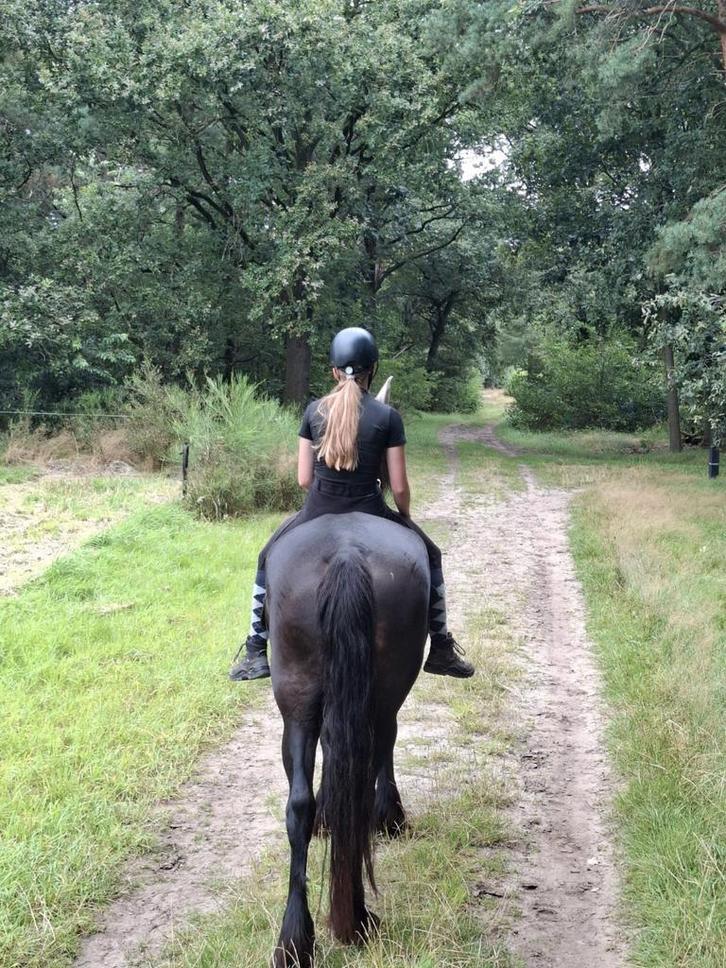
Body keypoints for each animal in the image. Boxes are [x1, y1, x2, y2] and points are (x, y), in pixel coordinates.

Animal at [265, 510, 430, 967]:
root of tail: (346, 554)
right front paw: (390, 815)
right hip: (382, 690)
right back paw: (352, 919)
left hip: (298, 700)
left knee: (299, 804)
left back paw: (296, 940)